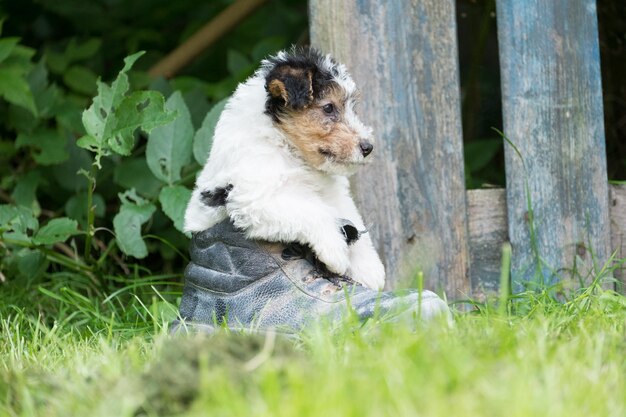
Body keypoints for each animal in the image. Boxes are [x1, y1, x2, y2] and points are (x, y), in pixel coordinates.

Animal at [183, 46, 382, 290]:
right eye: (328, 107)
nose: (368, 147)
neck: (287, 148)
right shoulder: (257, 198)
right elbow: (315, 211)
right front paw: (335, 254)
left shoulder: (334, 194)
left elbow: (352, 218)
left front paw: (371, 271)